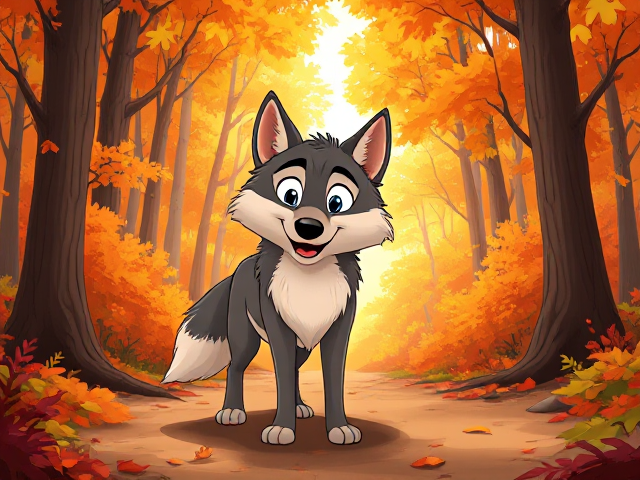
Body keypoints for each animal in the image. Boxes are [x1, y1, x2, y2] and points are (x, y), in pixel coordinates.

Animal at [162, 91, 393, 446]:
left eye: (336, 202)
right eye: (290, 195)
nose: (309, 227)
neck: (308, 282)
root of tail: (239, 269)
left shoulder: (337, 331)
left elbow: (332, 382)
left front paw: (338, 428)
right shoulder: (279, 328)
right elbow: (281, 377)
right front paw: (282, 428)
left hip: (303, 346)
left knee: (296, 371)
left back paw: (299, 407)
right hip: (245, 338)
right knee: (236, 368)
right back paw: (232, 411)